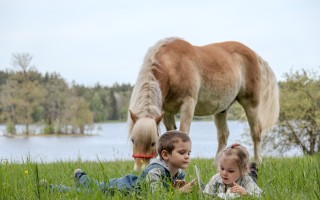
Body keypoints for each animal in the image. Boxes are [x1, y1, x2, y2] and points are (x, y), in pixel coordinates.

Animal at [128, 37, 280, 170]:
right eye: (133, 140)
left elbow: (183, 133)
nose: (139, 169)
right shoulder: (167, 112)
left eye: (153, 142)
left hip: (251, 103)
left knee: (256, 132)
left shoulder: (188, 104)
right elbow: (170, 135)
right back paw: (216, 164)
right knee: (223, 135)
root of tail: (254, 54)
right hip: (221, 110)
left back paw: (258, 161)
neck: (173, 65)